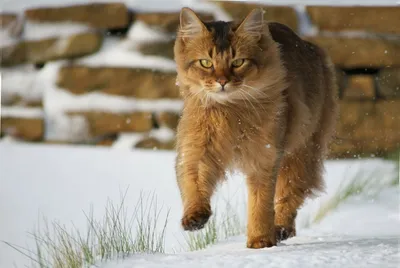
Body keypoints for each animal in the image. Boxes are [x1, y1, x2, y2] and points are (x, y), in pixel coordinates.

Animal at [173, 6, 340, 249]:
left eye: (237, 62)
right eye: (205, 63)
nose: (222, 82)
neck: (231, 112)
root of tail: (311, 46)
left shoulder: (266, 155)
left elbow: (260, 203)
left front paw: (260, 241)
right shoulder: (199, 147)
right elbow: (194, 183)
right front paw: (195, 217)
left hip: (302, 150)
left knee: (290, 195)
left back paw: (280, 229)